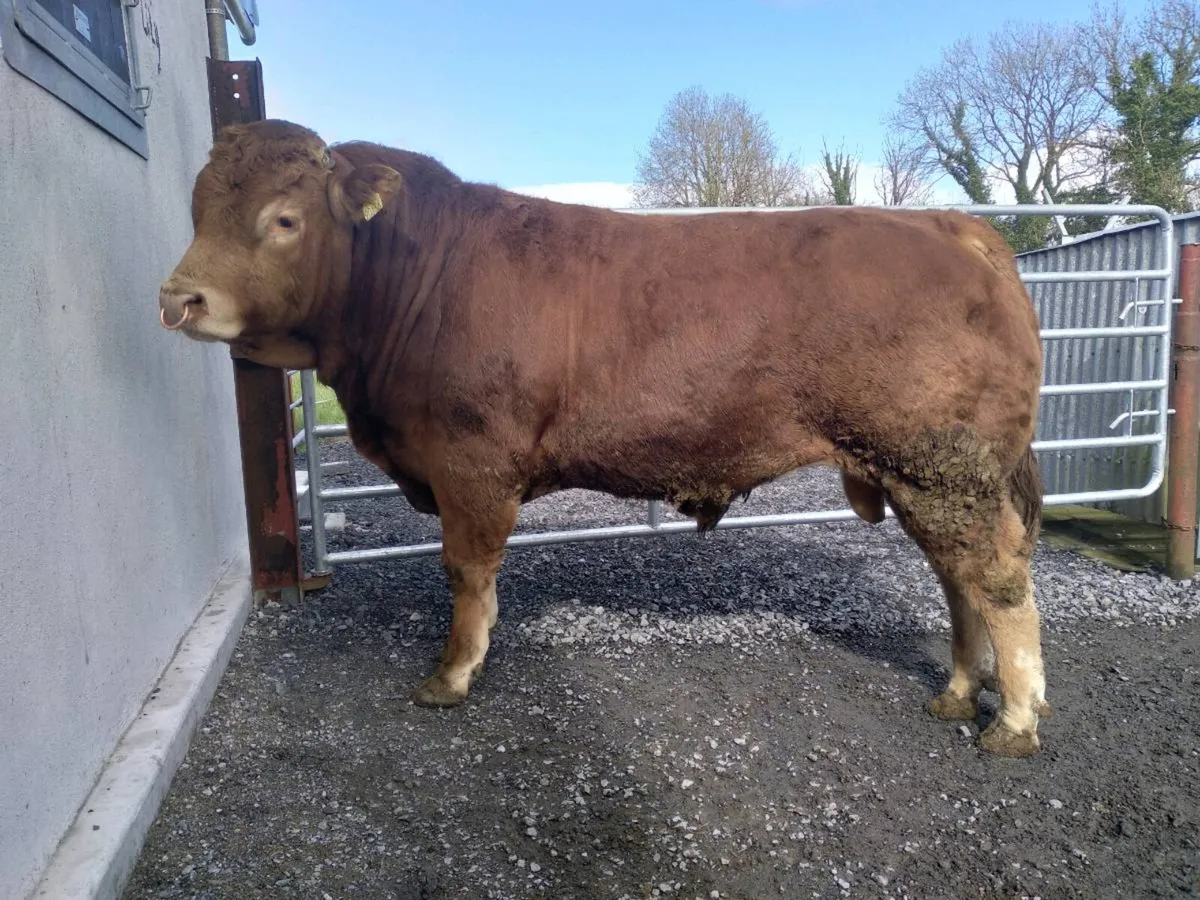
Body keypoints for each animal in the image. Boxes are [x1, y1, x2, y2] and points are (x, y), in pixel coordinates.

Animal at [160, 119, 1051, 757]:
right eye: (198, 210)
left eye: (284, 218)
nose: (180, 298)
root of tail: (954, 226)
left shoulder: (471, 463)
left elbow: (466, 573)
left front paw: (452, 673)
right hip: (923, 473)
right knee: (958, 581)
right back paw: (957, 692)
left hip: (943, 465)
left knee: (999, 578)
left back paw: (1012, 721)